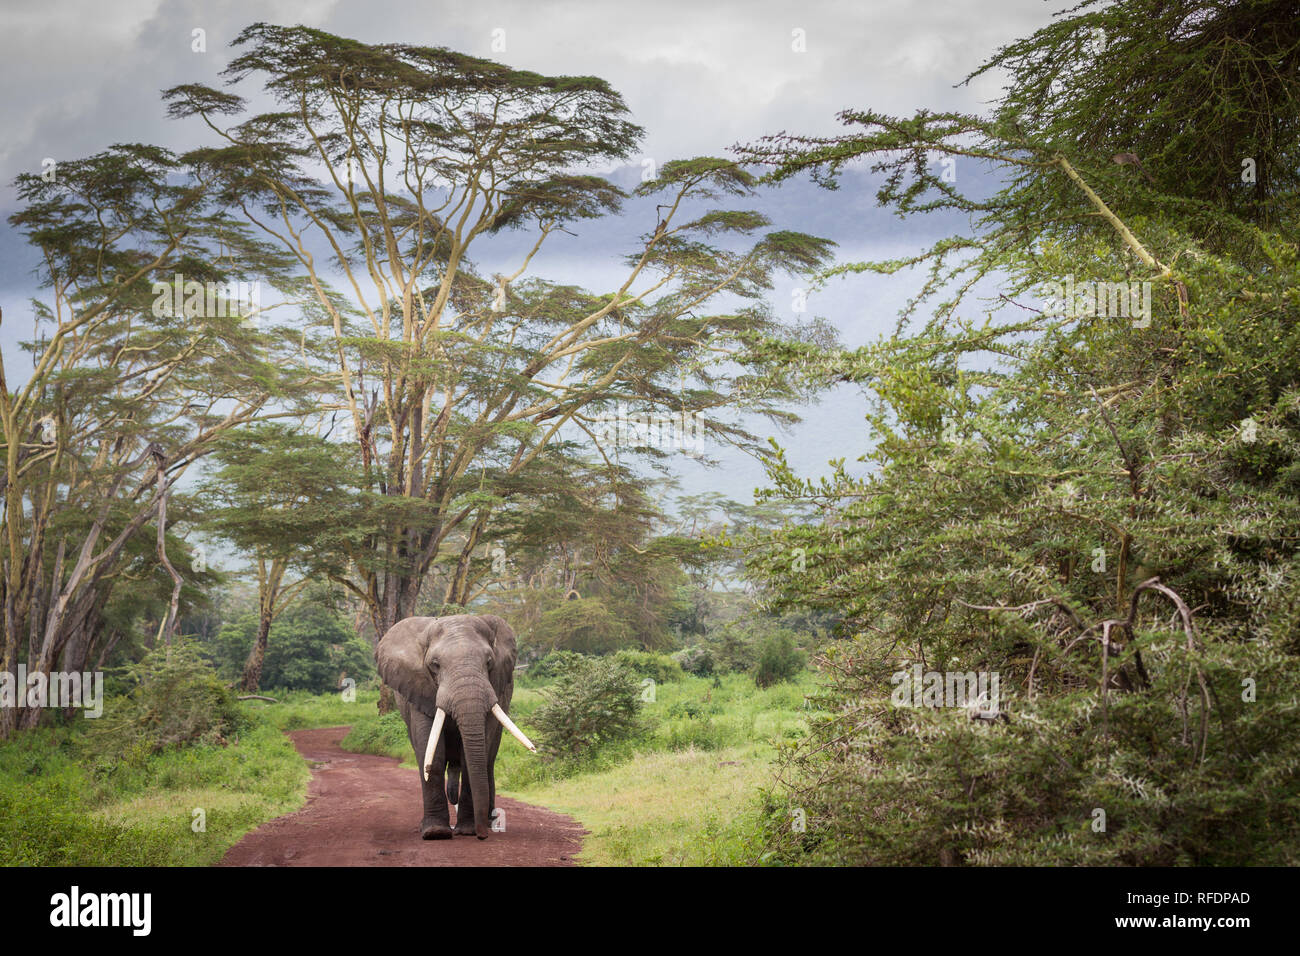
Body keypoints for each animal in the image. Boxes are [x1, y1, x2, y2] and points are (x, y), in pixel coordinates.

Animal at [374, 613, 535, 837]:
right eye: (435, 664)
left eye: (489, 662)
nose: (481, 836)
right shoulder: (418, 690)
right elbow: (432, 755)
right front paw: (435, 833)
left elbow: (473, 756)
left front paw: (467, 831)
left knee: (489, 761)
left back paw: (489, 823)